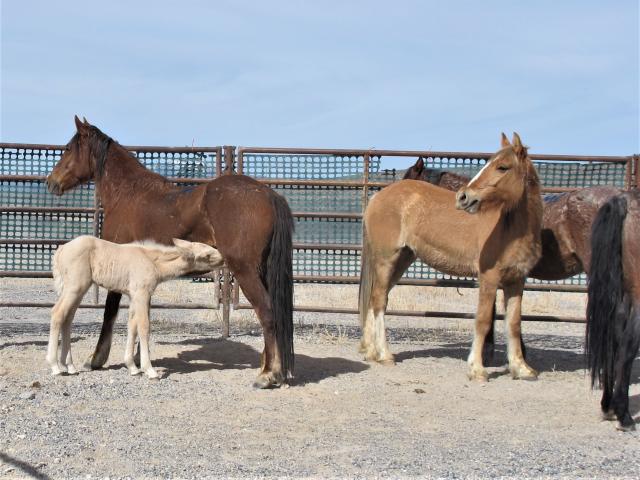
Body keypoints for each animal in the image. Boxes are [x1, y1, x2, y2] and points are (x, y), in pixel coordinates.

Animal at [47, 235, 224, 378]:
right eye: (207, 255)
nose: (223, 259)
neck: (153, 262)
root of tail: (61, 250)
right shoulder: (141, 294)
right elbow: (144, 327)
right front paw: (149, 370)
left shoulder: (133, 296)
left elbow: (132, 326)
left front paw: (132, 367)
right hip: (75, 287)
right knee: (57, 313)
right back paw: (55, 367)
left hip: (77, 289)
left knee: (68, 318)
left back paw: (69, 366)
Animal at [358, 133, 544, 380]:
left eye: (502, 167)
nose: (464, 197)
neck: (511, 228)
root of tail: (378, 197)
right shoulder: (489, 278)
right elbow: (483, 320)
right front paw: (477, 369)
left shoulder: (516, 281)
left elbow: (513, 323)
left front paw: (521, 368)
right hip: (386, 259)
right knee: (379, 300)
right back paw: (385, 355)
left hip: (402, 260)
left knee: (377, 298)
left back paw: (371, 352)